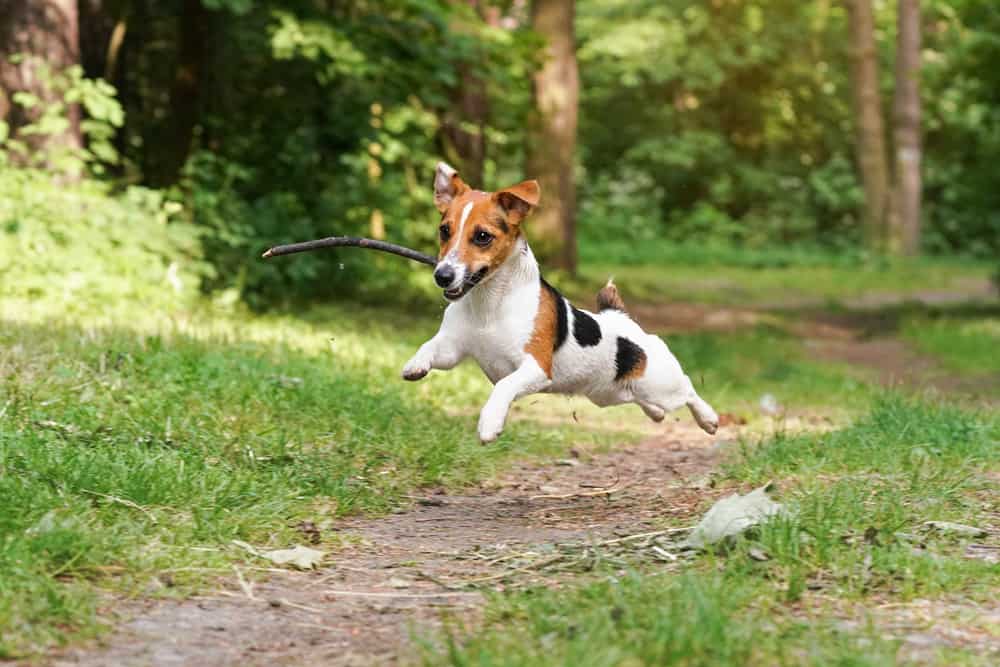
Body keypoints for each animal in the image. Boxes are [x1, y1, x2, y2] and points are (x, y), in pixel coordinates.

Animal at [400, 162, 720, 444]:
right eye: (444, 230)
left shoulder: (536, 367)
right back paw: (656, 414)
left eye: (482, 236)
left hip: (662, 384)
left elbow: (504, 385)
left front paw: (490, 422)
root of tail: (622, 318)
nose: (442, 276)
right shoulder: (453, 349)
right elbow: (429, 347)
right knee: (651, 402)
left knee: (688, 388)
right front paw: (415, 364)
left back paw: (708, 419)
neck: (489, 302)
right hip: (612, 394)